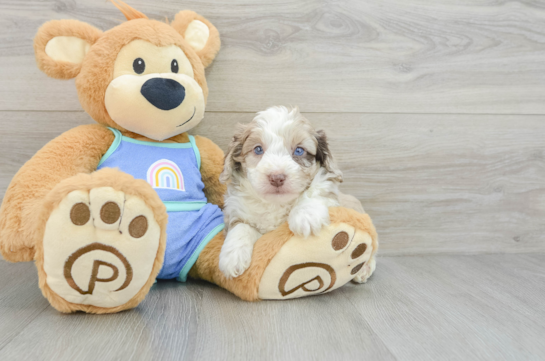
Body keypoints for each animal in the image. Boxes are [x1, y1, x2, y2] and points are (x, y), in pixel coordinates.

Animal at [216, 105, 340, 278]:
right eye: (258, 149)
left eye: (299, 151)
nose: (277, 178)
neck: (275, 204)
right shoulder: (236, 210)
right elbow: (241, 226)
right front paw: (232, 256)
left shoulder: (329, 188)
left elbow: (316, 190)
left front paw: (306, 216)